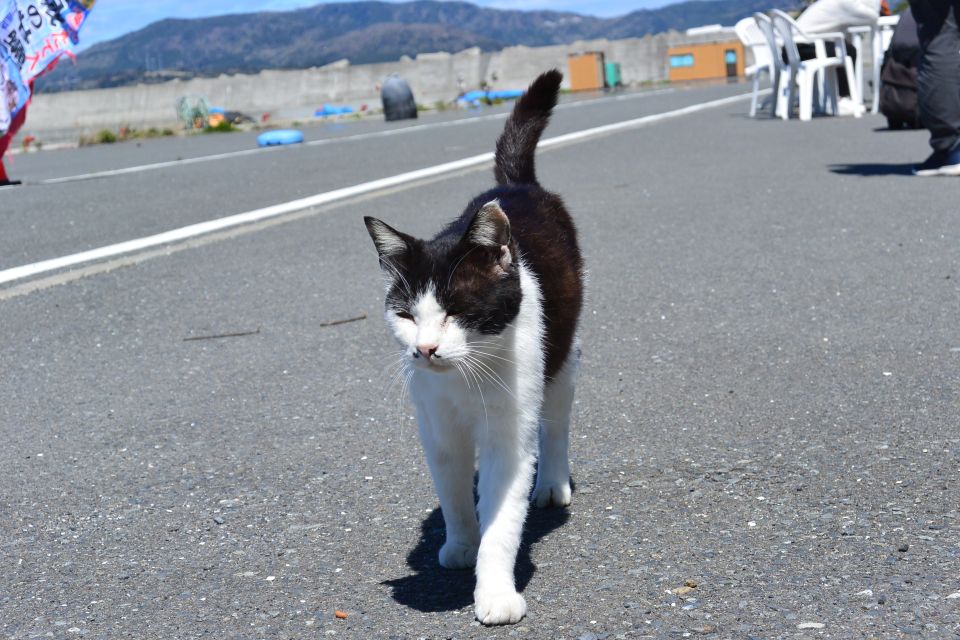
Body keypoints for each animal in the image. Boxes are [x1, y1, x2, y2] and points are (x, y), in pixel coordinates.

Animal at [364, 69, 583, 625]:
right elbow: (454, 493)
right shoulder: (437, 428)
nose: (425, 349)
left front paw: (496, 594)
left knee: (556, 424)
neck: (466, 379)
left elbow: (502, 523)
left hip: (562, 359)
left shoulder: (509, 436)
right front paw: (461, 544)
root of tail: (515, 185)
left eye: (455, 311)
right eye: (406, 315)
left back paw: (552, 485)